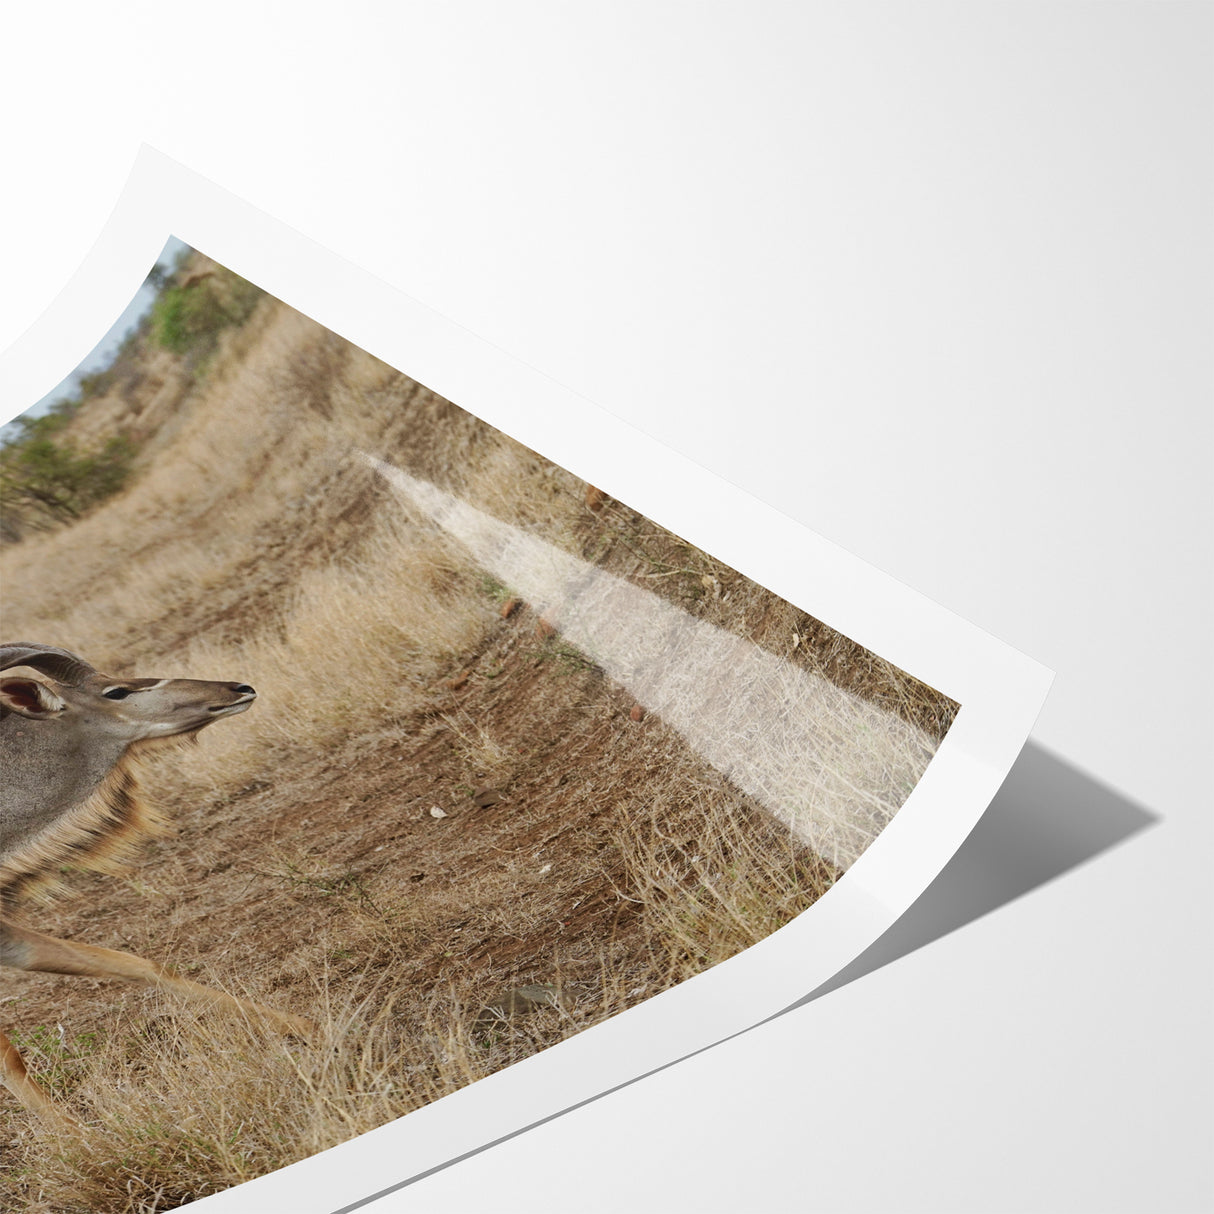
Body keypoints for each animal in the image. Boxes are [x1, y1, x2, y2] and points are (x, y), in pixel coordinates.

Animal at [0, 642, 312, 1126]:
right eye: (117, 691)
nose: (238, 688)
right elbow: (7, 1056)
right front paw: (83, 1138)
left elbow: (135, 963)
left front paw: (304, 1027)